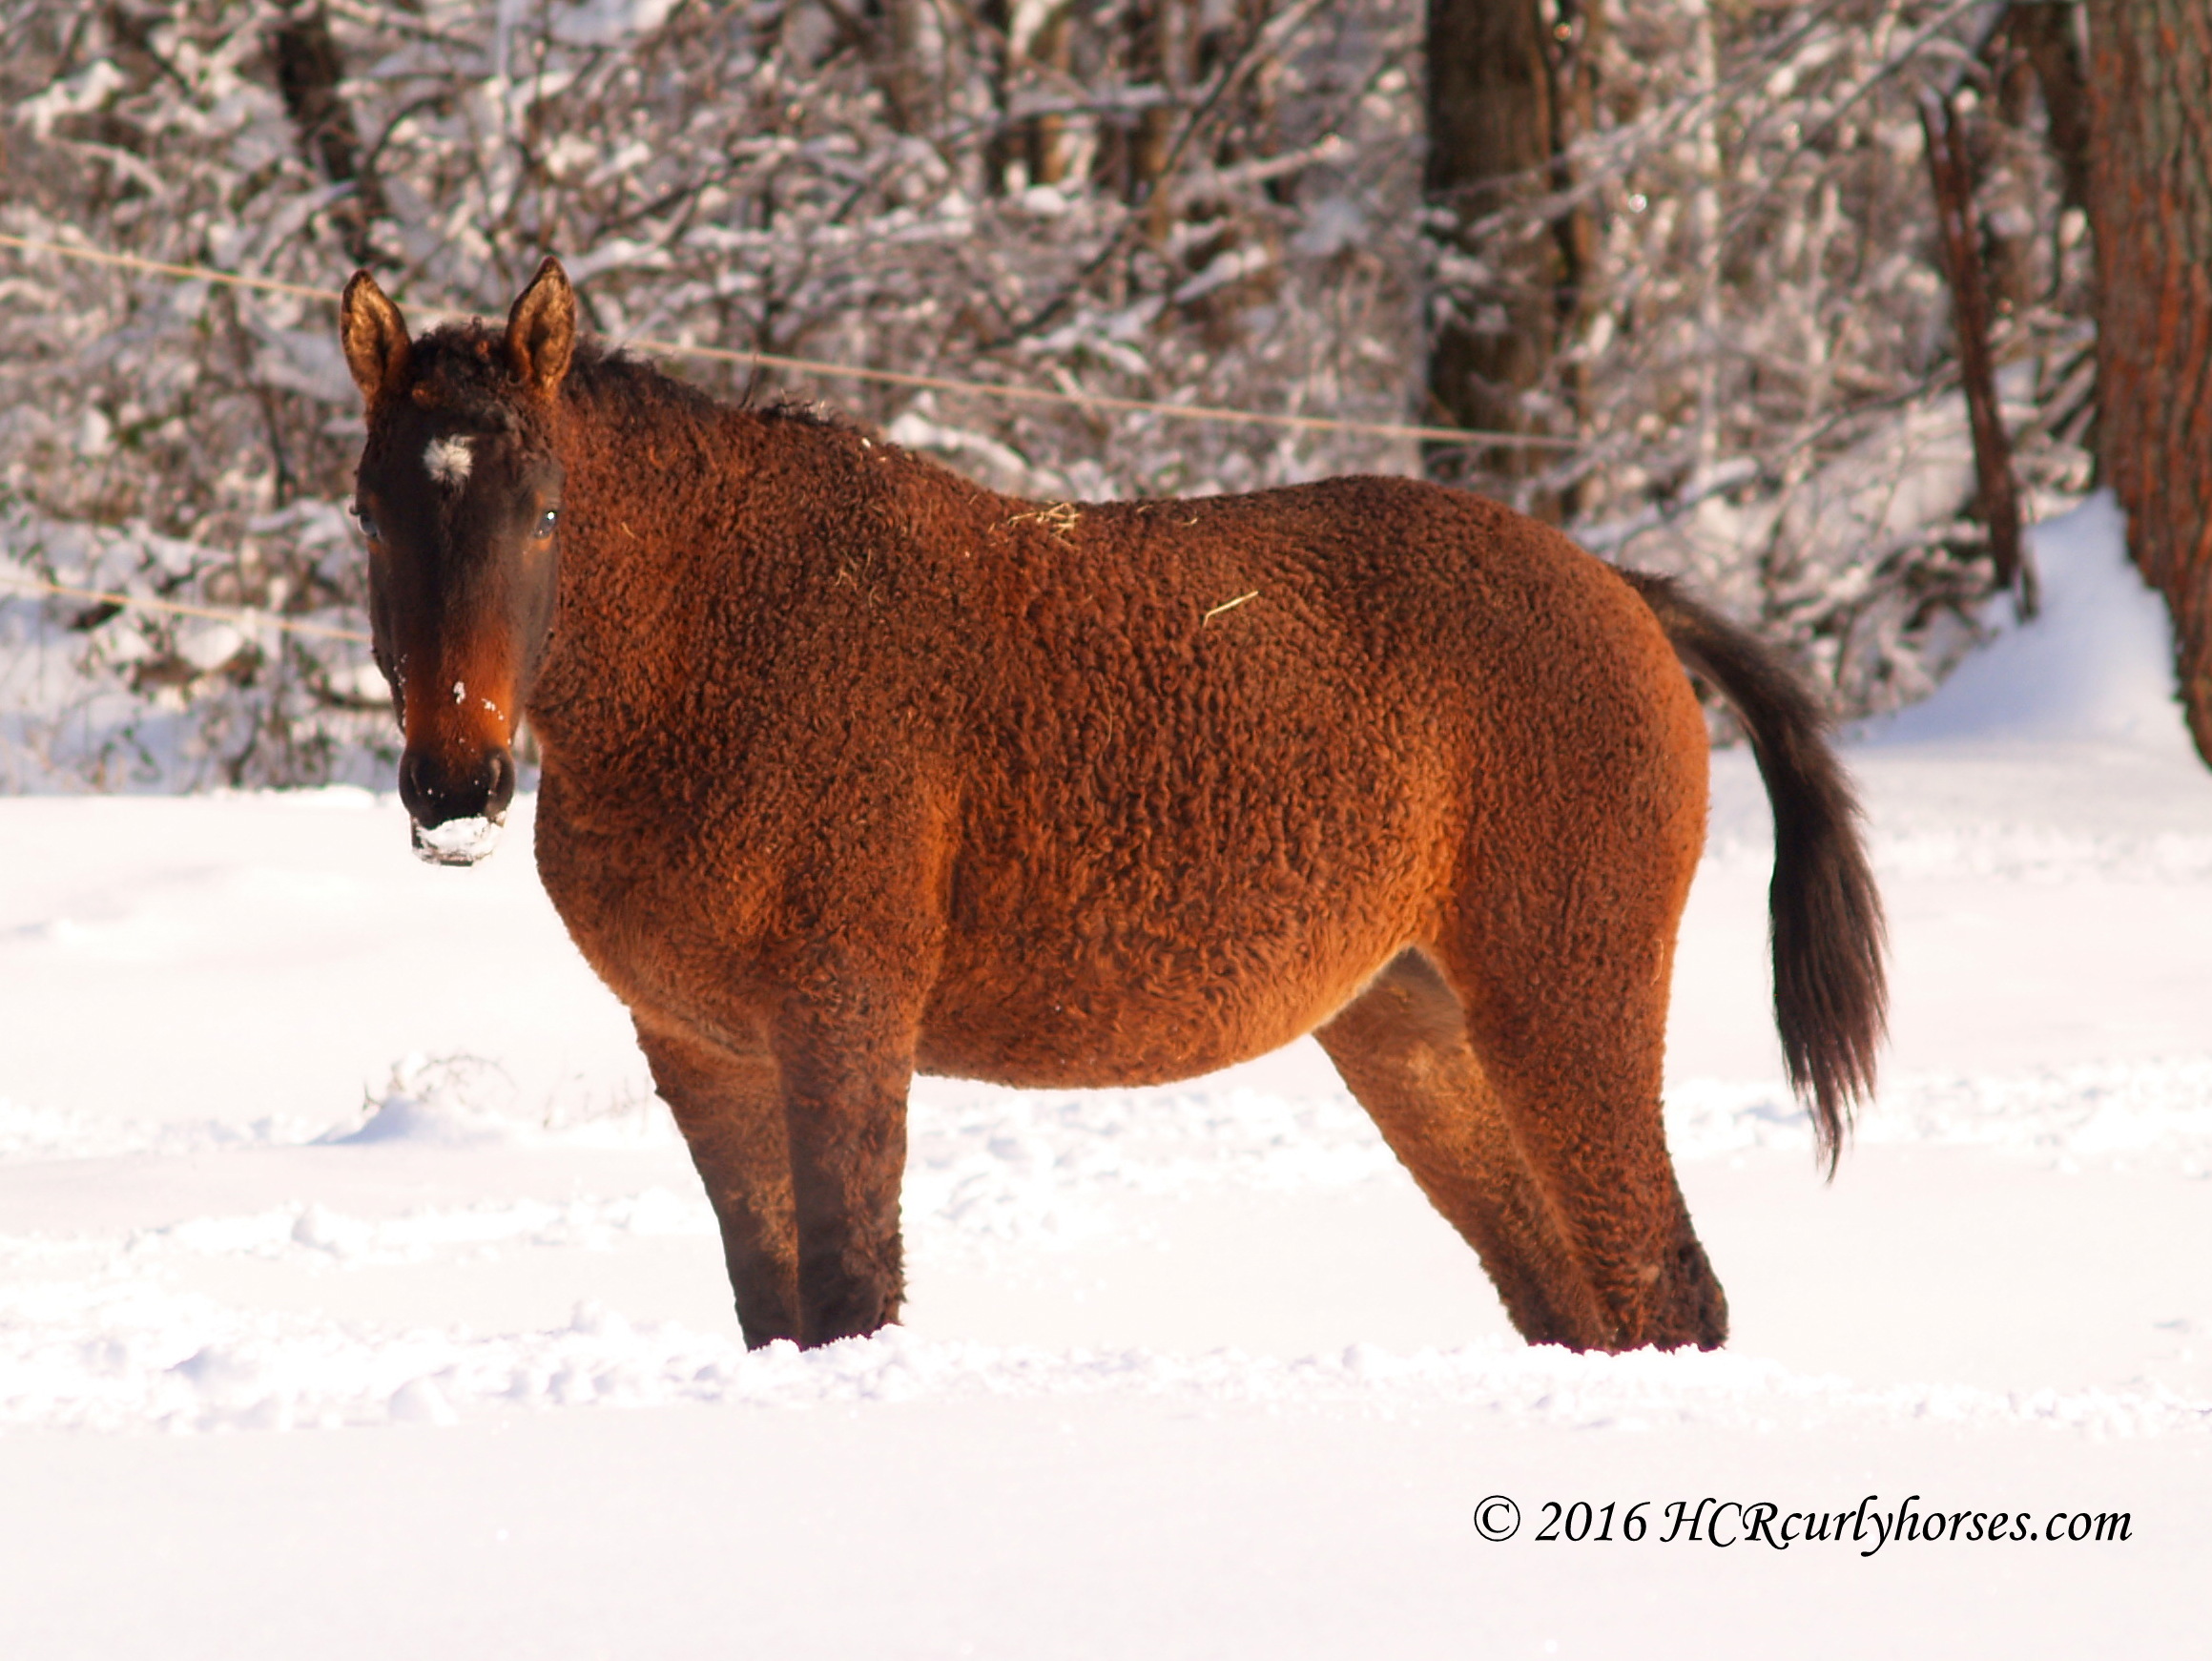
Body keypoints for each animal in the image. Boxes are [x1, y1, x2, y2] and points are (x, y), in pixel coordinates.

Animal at [331, 256, 1884, 1353]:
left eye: (542, 510)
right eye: (368, 513)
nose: (454, 788)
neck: (728, 639)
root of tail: (1626, 592)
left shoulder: (840, 1017)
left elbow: (851, 1298)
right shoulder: (700, 1048)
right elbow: (775, 1312)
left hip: (1565, 1007)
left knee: (1663, 1290)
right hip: (1414, 1032)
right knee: (1577, 1304)